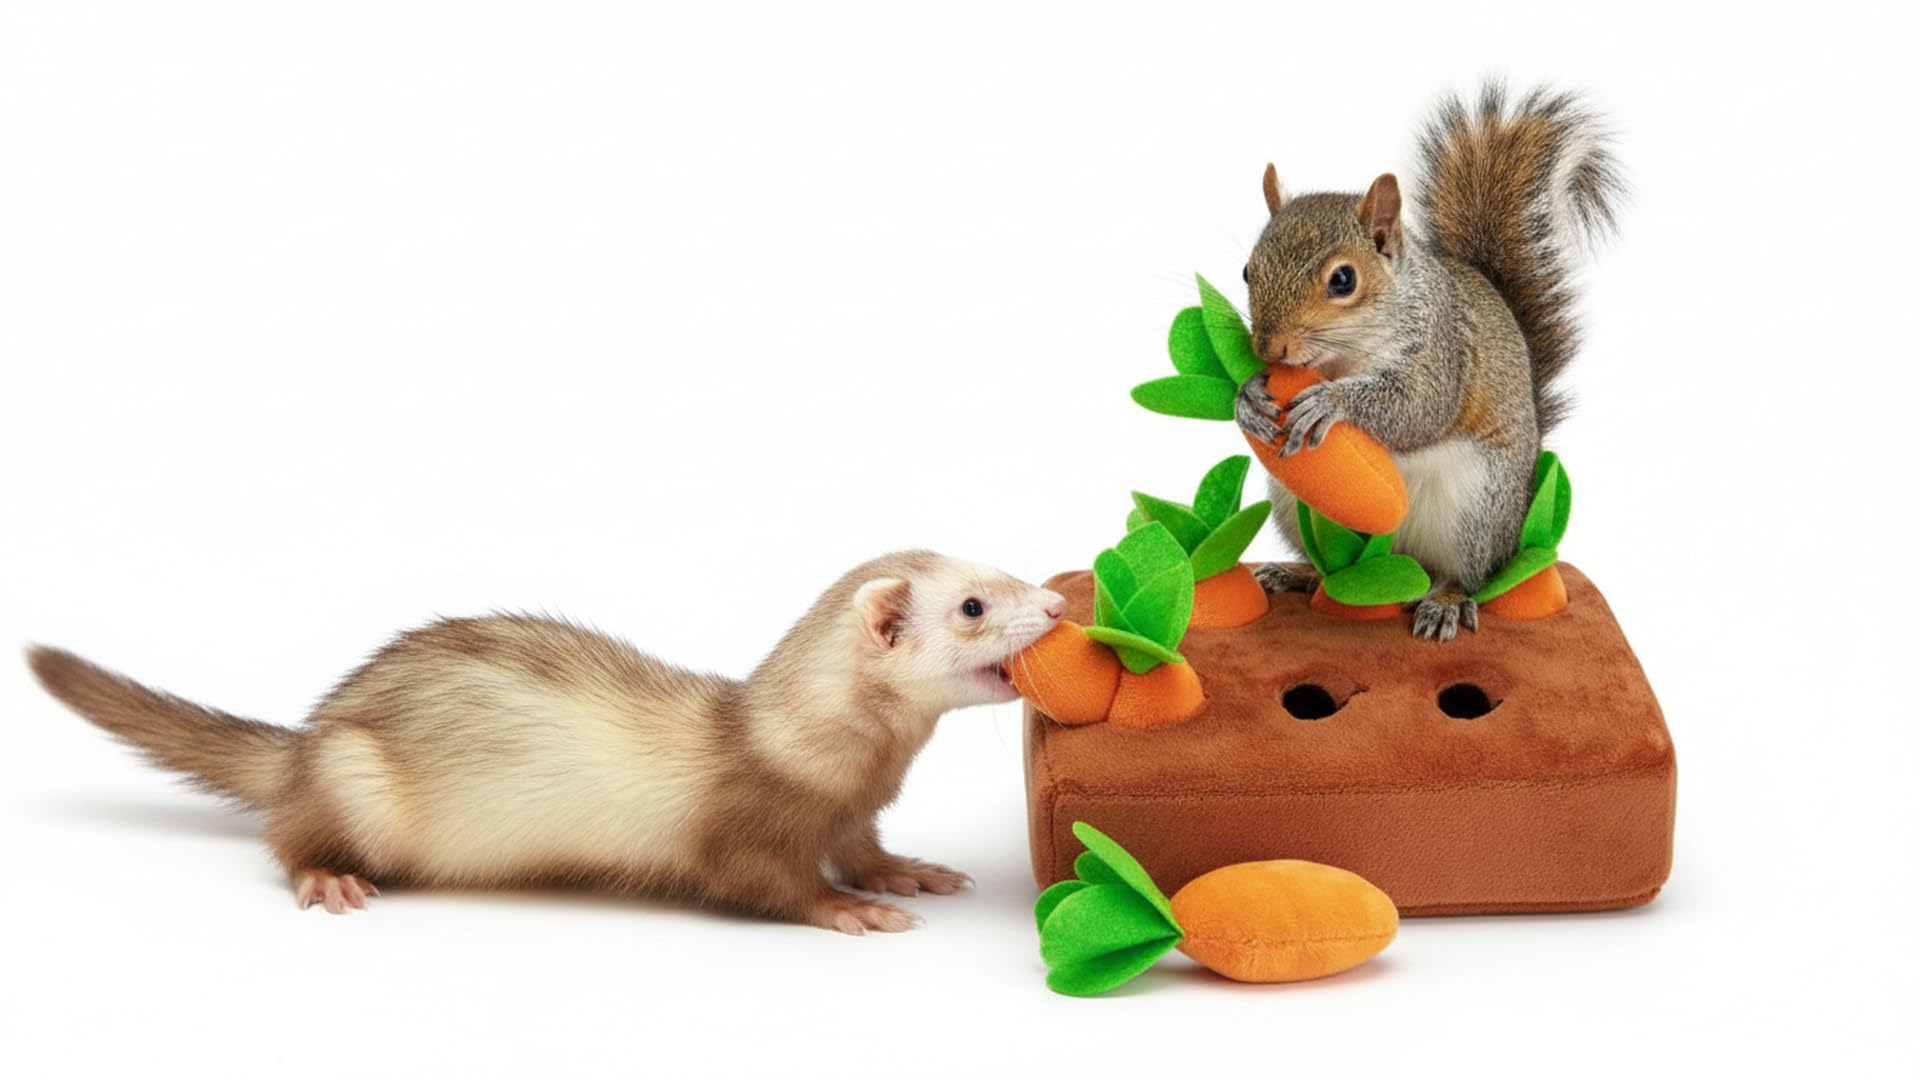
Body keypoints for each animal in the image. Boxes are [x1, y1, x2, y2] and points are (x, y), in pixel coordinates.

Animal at [28, 550, 1065, 934]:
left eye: (998, 567)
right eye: (974, 605)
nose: (1056, 605)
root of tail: (310, 740)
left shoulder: (852, 811)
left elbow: (863, 846)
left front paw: (905, 873)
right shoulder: (741, 826)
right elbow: (761, 880)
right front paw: (847, 908)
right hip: (355, 781)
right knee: (286, 838)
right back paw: (328, 875)